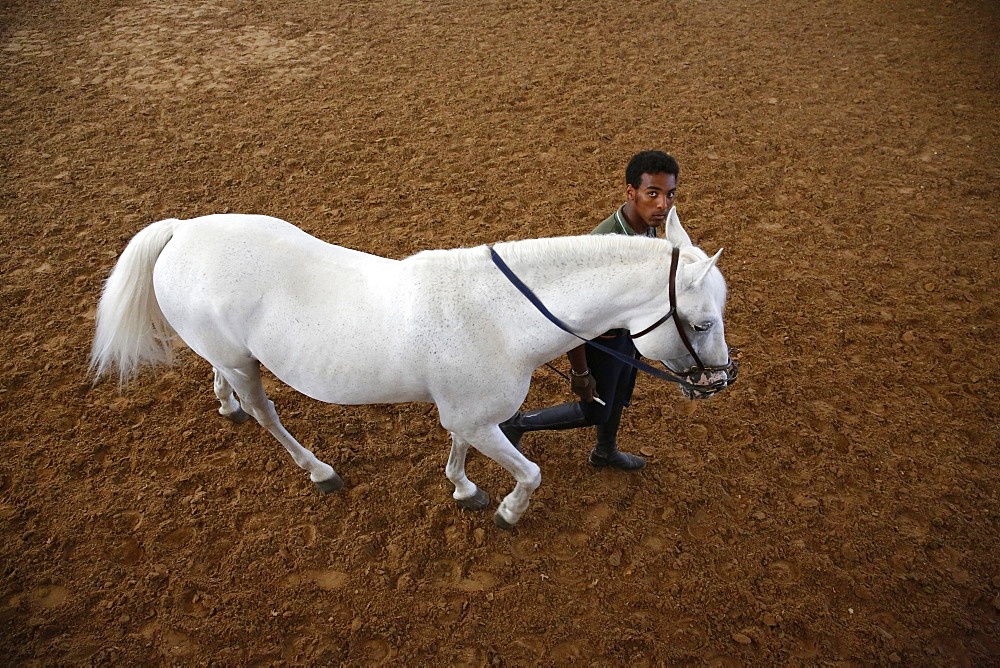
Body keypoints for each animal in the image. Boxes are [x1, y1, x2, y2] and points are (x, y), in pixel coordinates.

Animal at [92, 211, 736, 528]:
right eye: (704, 323)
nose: (720, 379)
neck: (499, 316)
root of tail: (184, 232)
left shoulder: (467, 416)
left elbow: (458, 451)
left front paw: (465, 489)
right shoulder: (479, 420)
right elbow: (529, 474)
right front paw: (506, 512)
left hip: (228, 353)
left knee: (224, 378)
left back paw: (225, 404)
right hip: (248, 369)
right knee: (266, 414)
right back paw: (319, 471)